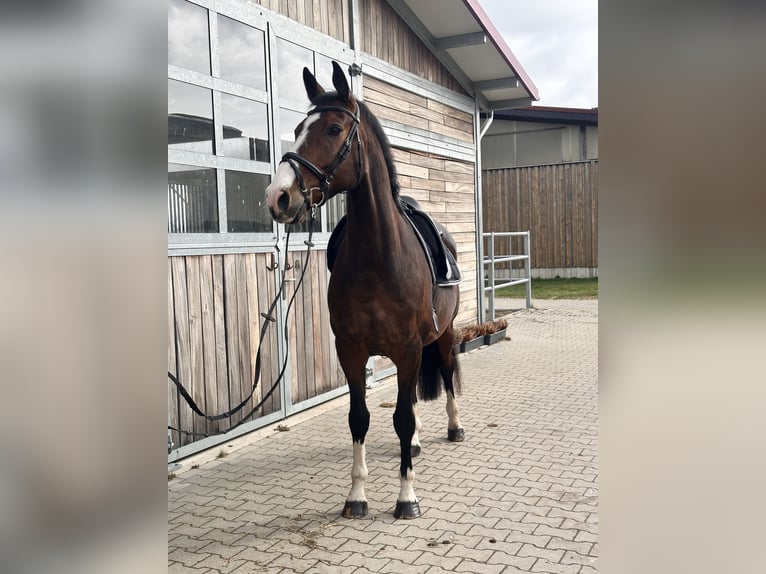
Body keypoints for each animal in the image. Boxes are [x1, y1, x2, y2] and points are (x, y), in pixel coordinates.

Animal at [265, 61, 464, 519]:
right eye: (298, 127)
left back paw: (454, 426)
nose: (277, 197)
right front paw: (356, 495)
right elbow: (360, 417)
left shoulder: (408, 348)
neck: (380, 259)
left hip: (443, 335)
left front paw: (406, 497)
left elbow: (402, 417)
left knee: (446, 374)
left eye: (335, 128)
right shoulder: (351, 350)